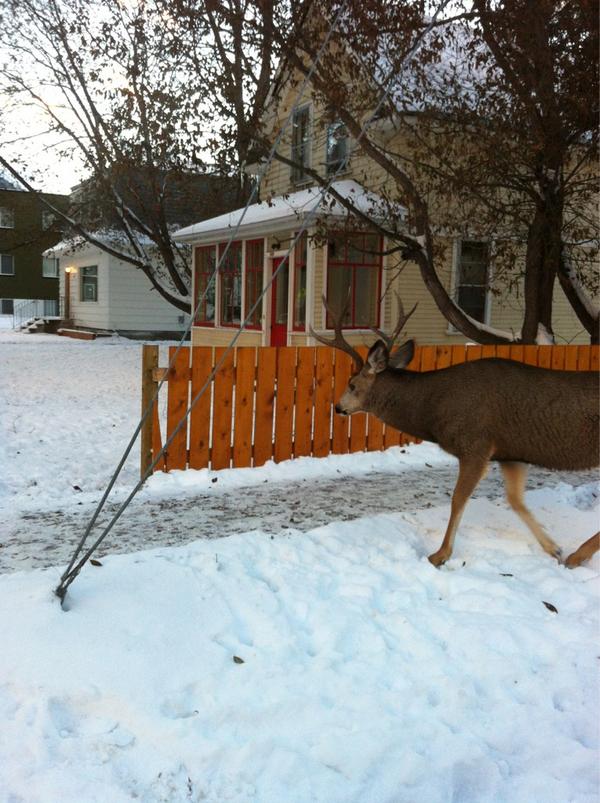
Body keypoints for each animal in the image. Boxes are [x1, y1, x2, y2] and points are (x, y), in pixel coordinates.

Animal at [311, 295, 600, 568]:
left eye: (351, 384)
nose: (338, 407)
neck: (434, 409)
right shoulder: (510, 453)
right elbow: (515, 500)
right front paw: (553, 549)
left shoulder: (476, 445)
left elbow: (458, 499)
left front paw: (439, 555)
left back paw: (578, 555)